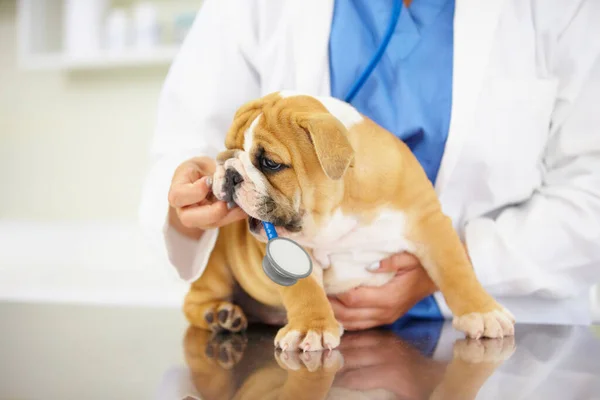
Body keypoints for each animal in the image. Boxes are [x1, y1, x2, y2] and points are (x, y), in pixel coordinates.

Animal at [184, 91, 516, 354]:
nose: (229, 172)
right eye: (226, 152)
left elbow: (456, 271)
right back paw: (220, 315)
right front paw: (311, 328)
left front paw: (483, 312)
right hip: (216, 265)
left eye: (270, 163)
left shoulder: (429, 222)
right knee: (194, 300)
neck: (338, 208)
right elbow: (304, 290)